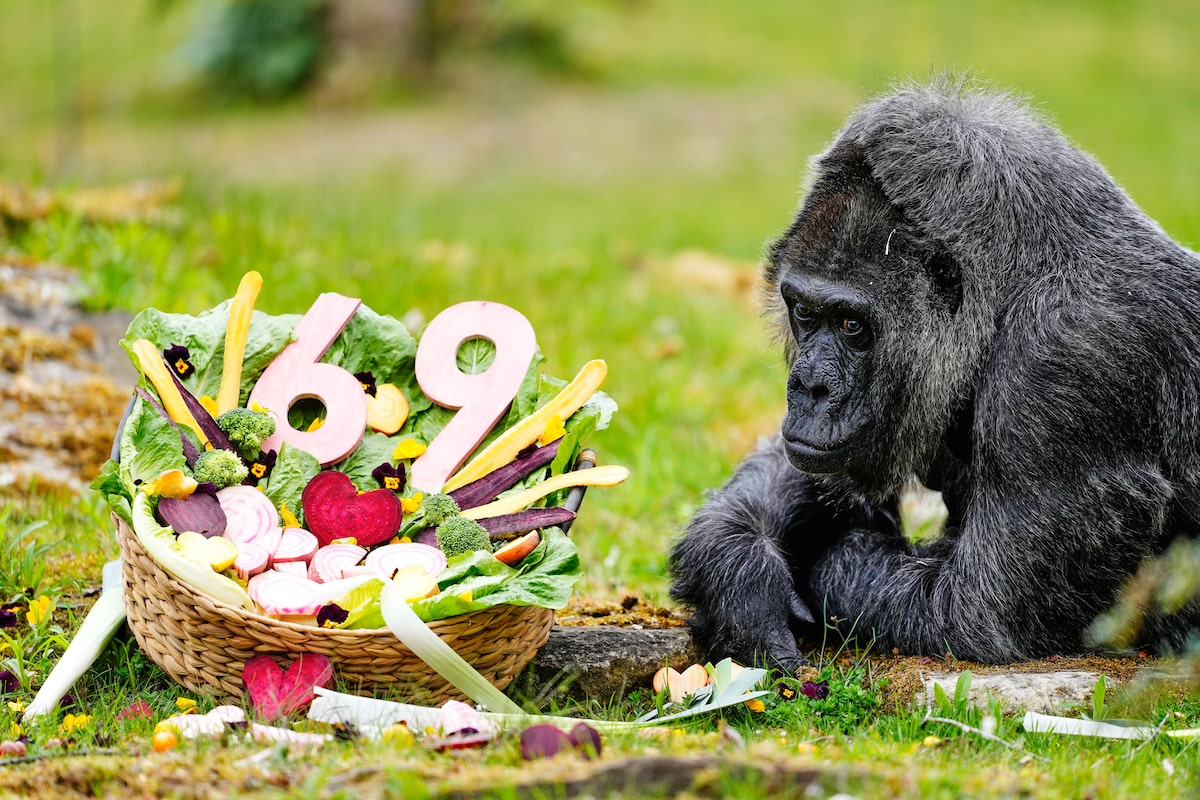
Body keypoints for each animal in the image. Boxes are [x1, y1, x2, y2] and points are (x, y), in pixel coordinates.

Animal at [669, 78, 1200, 673]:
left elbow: (975, 609)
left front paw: (823, 564)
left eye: (852, 325)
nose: (809, 387)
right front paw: (739, 570)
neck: (1012, 292)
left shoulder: (1072, 361)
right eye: (804, 312)